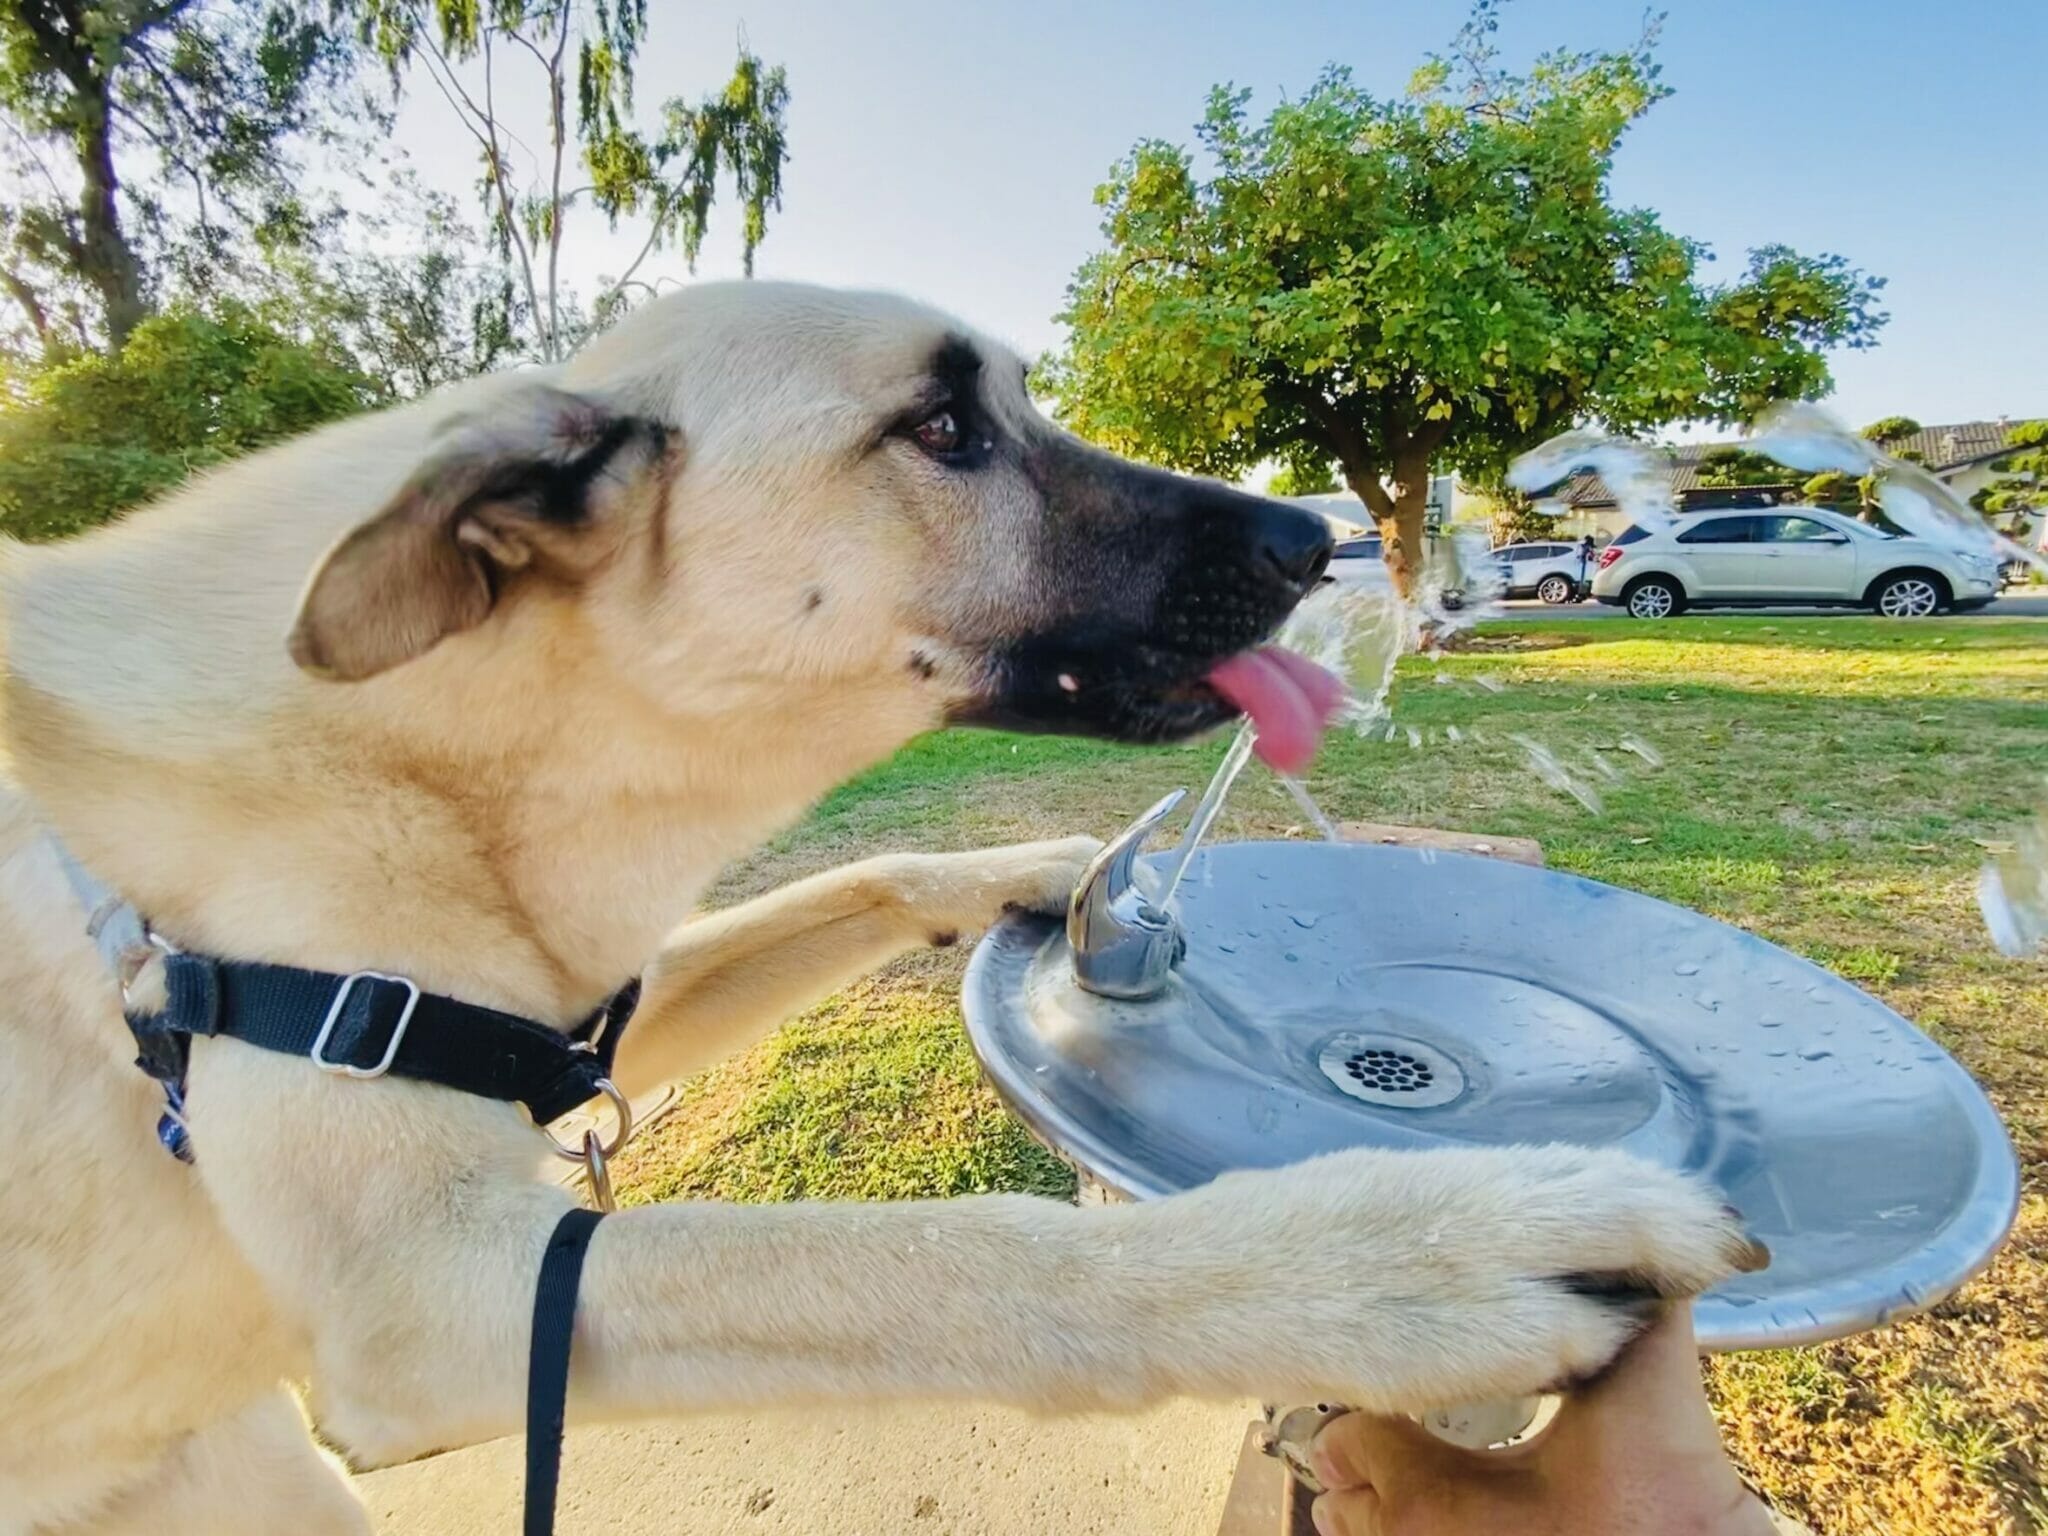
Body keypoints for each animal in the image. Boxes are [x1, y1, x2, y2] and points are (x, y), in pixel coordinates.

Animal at [0, 282, 1753, 1531]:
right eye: (945, 429)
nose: (1310, 536)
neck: (445, 733)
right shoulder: (434, 1296)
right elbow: (965, 1259)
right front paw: (1410, 1259)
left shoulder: (592, 1015)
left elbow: (863, 875)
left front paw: (1045, 872)